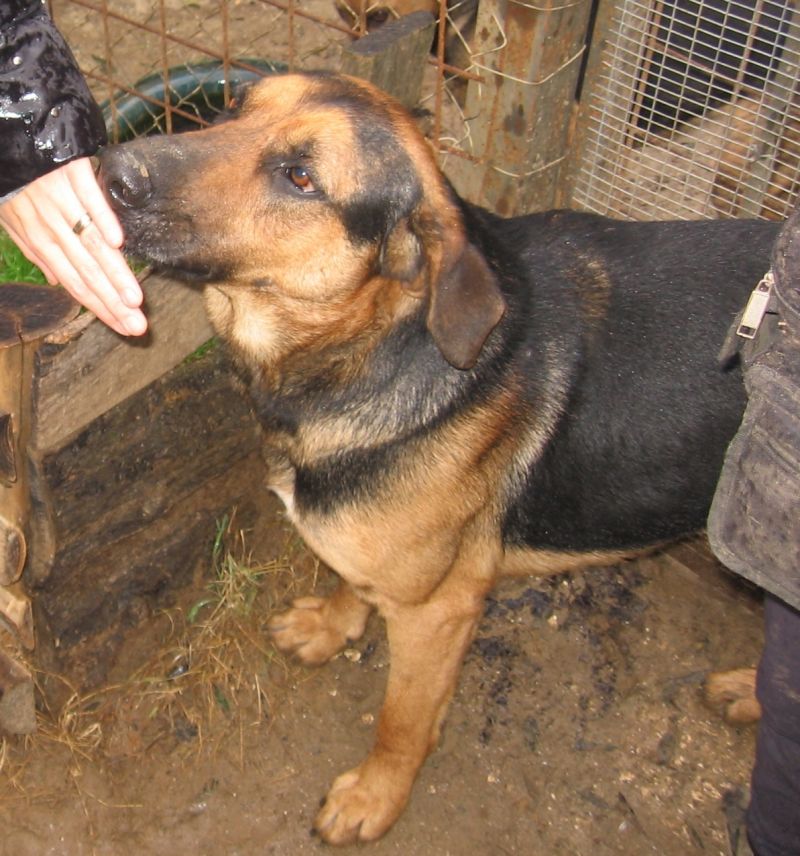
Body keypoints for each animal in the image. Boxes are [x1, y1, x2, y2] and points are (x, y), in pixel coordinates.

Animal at [97, 72, 780, 844]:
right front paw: (330, 625)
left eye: (301, 177)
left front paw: (375, 796)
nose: (113, 170)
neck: (373, 347)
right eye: (234, 107)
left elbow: (402, 721)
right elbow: (348, 576)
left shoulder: (439, 611)